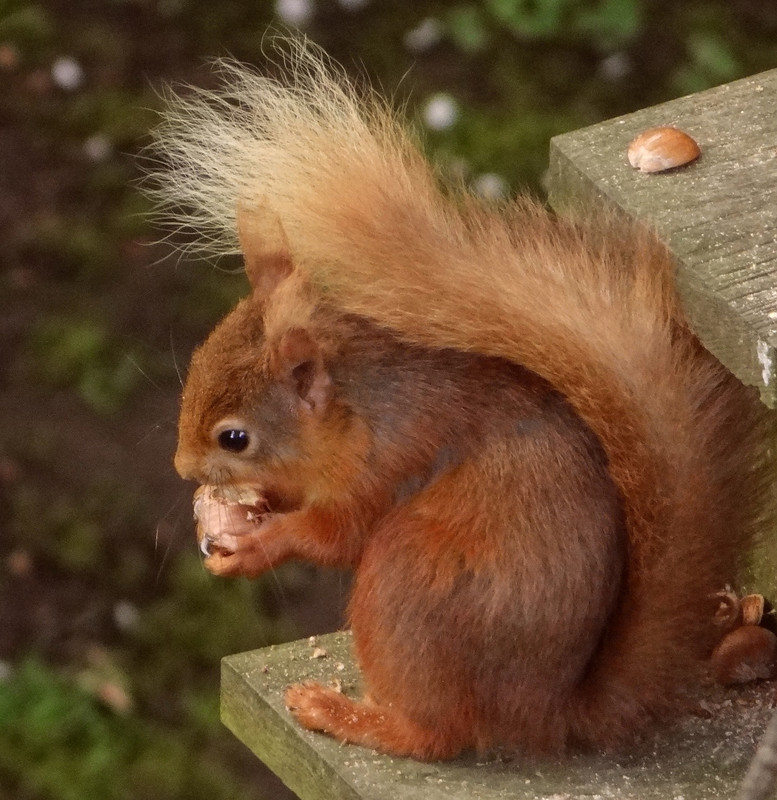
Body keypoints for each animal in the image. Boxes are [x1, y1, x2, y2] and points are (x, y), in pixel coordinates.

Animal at [152, 43, 774, 760]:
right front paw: (235, 514)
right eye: (197, 363)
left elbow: (333, 536)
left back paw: (338, 712)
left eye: (235, 437)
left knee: (432, 735)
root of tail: (544, 711)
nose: (182, 470)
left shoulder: (387, 459)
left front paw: (258, 543)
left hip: (405, 584)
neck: (353, 412)